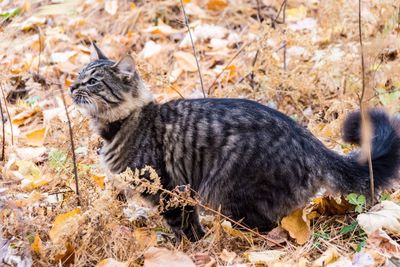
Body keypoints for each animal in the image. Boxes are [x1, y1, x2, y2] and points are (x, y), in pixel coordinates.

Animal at [70, 43, 400, 242]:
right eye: (78, 75)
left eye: (93, 81)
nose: (71, 86)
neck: (124, 123)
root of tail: (310, 141)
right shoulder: (183, 189)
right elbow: (190, 222)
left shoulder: (168, 188)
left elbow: (181, 224)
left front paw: (186, 247)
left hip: (232, 193)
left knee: (268, 226)